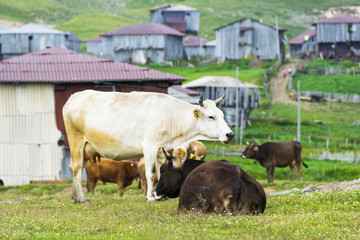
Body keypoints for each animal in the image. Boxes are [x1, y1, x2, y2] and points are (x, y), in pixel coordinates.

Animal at [63, 89, 235, 202]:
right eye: (211, 116)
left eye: (222, 115)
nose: (230, 134)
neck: (172, 117)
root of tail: (74, 97)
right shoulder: (150, 147)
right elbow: (151, 174)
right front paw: (150, 197)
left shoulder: (162, 151)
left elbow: (160, 173)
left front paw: (159, 195)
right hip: (76, 142)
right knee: (76, 168)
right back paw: (82, 198)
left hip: (86, 148)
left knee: (77, 168)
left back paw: (75, 196)